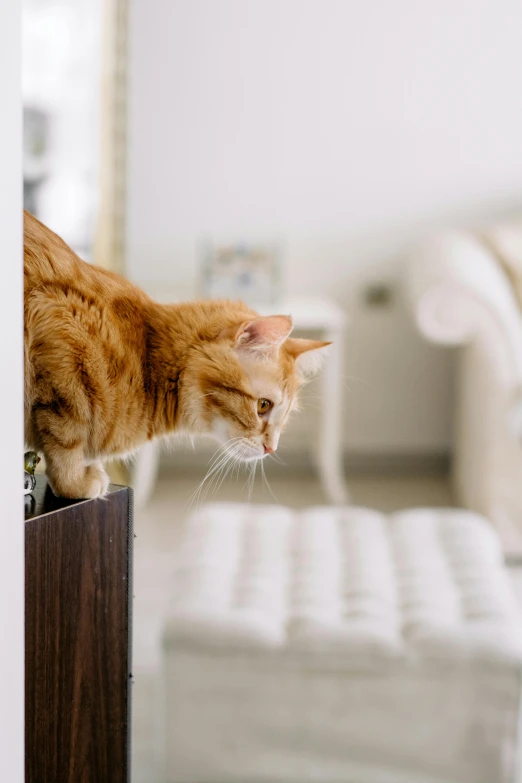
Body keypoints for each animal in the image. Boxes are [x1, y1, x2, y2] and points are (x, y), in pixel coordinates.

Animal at [24, 210, 328, 496]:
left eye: (284, 416)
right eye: (263, 405)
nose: (271, 449)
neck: (145, 358)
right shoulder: (60, 331)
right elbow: (66, 438)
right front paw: (73, 482)